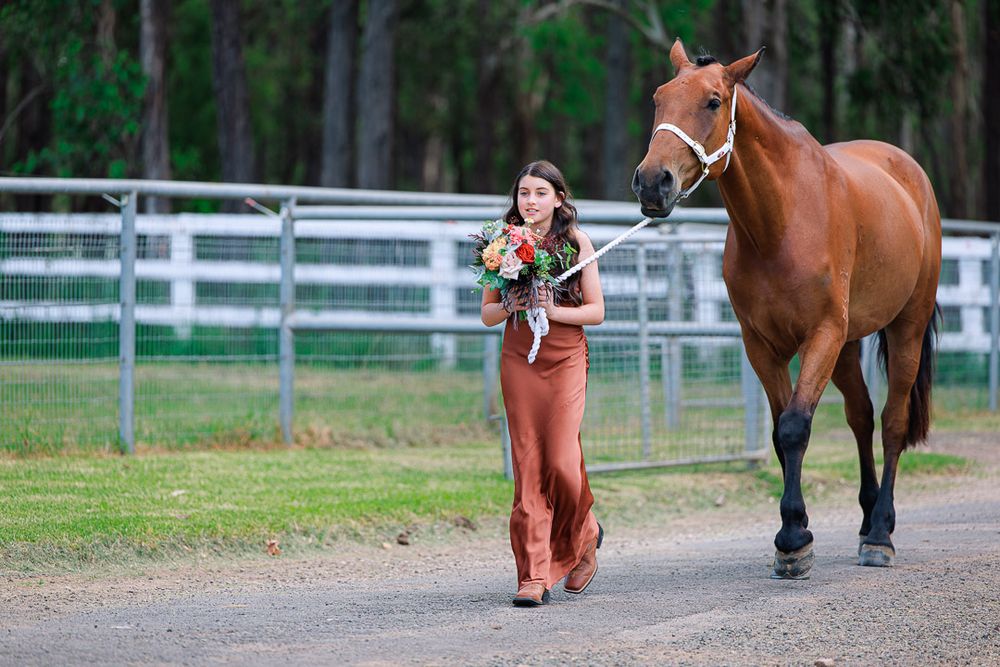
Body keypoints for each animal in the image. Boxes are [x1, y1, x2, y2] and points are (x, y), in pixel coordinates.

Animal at [632, 40, 941, 578]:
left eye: (713, 101)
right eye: (658, 98)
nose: (653, 183)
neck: (781, 222)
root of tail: (910, 174)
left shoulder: (821, 334)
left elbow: (796, 426)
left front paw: (794, 539)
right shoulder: (762, 345)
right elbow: (781, 433)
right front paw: (792, 534)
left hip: (905, 327)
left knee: (893, 422)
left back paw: (880, 533)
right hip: (847, 347)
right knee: (861, 416)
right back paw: (867, 516)